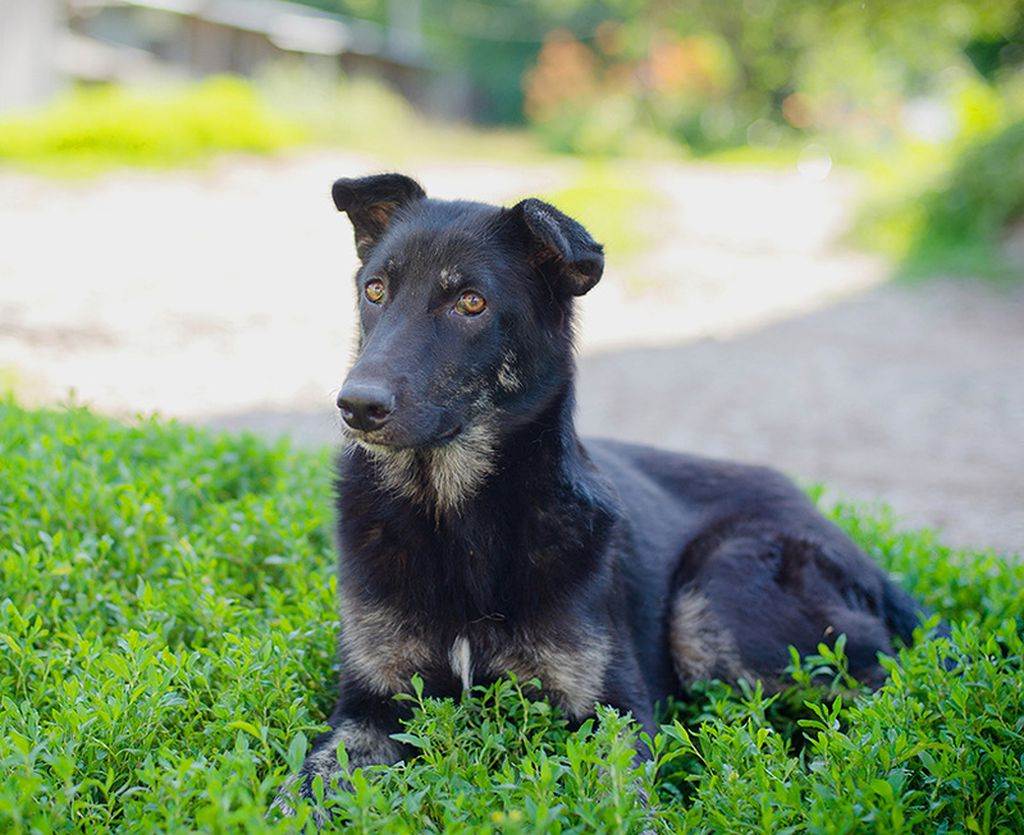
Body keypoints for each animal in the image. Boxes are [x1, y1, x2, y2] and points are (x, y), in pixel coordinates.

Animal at [276, 171, 925, 815]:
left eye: (471, 303)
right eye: (375, 291)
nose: (357, 405)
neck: (458, 516)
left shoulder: (612, 712)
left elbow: (624, 800)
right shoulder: (369, 707)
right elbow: (303, 785)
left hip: (717, 595)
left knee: (891, 680)